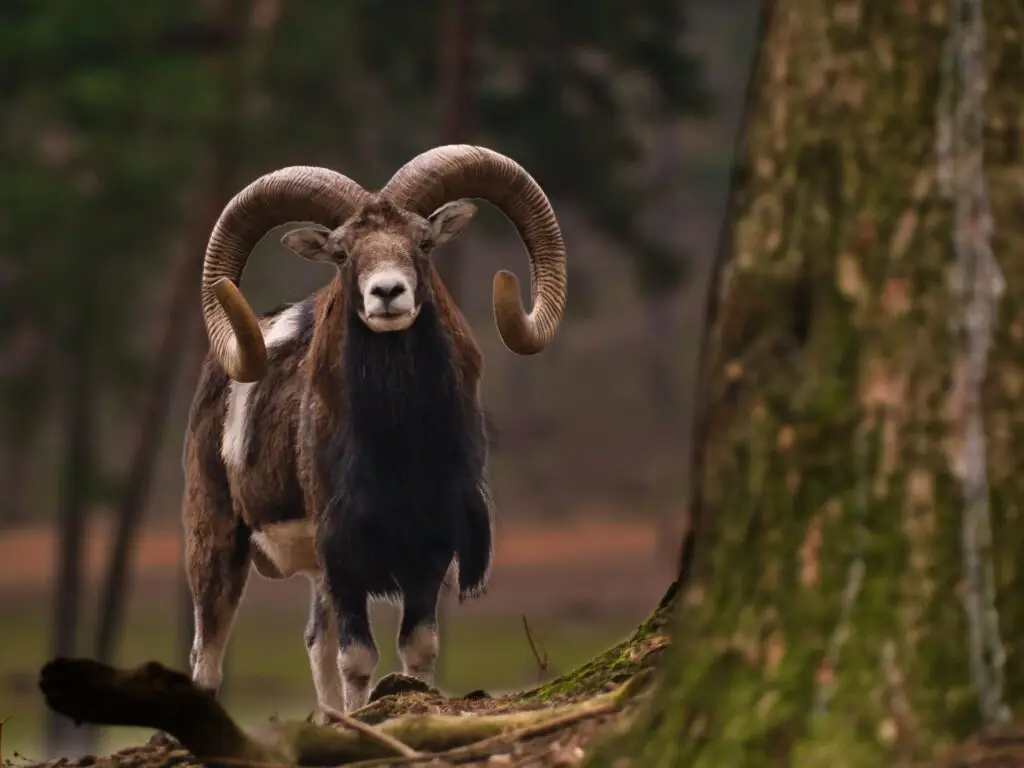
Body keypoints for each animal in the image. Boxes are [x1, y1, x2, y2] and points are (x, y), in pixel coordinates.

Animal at [182, 144, 568, 716]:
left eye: (423, 243)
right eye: (342, 253)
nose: (388, 293)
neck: (400, 444)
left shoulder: (430, 550)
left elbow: (417, 648)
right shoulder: (343, 553)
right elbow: (358, 659)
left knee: (315, 644)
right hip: (216, 543)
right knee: (208, 657)